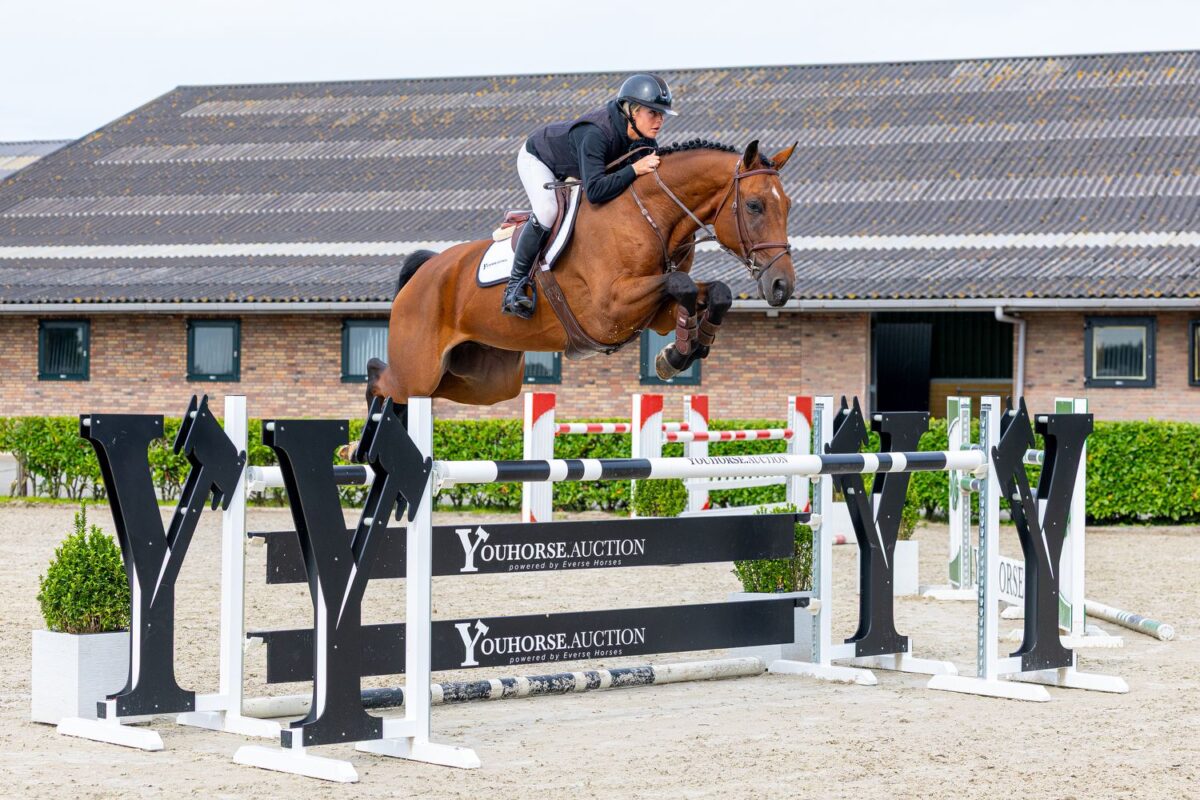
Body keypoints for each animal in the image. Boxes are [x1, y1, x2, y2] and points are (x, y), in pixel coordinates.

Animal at [365, 138, 797, 414]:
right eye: (755, 206)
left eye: (788, 205)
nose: (782, 286)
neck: (650, 216)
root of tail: (424, 273)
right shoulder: (610, 311)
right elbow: (683, 285)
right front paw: (677, 354)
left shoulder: (652, 313)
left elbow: (712, 291)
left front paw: (682, 351)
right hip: (418, 371)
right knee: (386, 381)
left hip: (486, 379)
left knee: (427, 388)